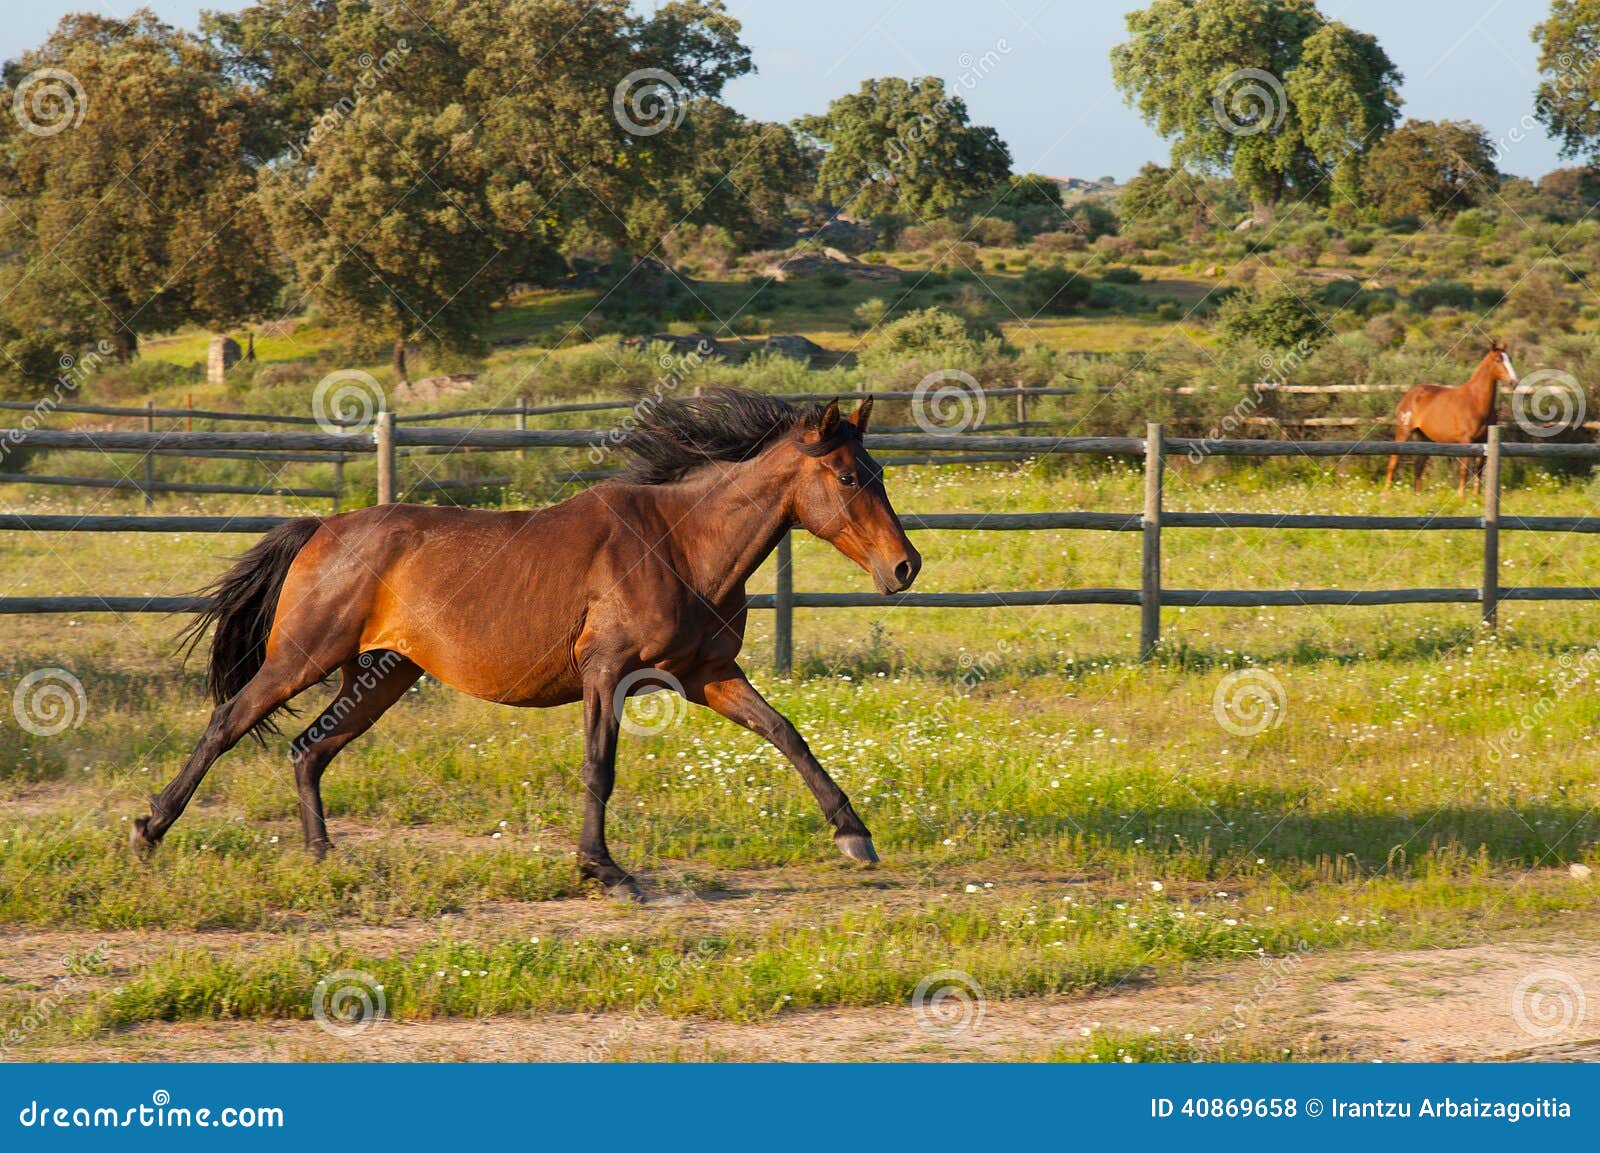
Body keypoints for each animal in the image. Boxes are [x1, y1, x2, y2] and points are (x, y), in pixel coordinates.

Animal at [133, 390, 921, 898]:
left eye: (880, 472)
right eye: (847, 476)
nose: (905, 567)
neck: (682, 545)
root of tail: (321, 527)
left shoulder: (708, 675)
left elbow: (788, 734)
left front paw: (854, 834)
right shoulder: (609, 672)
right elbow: (599, 767)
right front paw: (603, 870)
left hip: (382, 676)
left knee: (309, 749)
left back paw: (325, 856)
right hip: (304, 657)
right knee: (229, 722)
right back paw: (150, 829)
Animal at [1384, 341, 1518, 496]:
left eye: (1510, 359)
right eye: (1498, 360)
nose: (1514, 382)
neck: (1476, 401)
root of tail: (1409, 394)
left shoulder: (1484, 441)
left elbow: (1478, 471)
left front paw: (1475, 495)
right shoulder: (1466, 441)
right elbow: (1464, 471)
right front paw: (1461, 496)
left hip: (1424, 438)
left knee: (1418, 465)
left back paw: (1417, 495)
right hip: (1403, 432)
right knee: (1393, 461)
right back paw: (1385, 493)